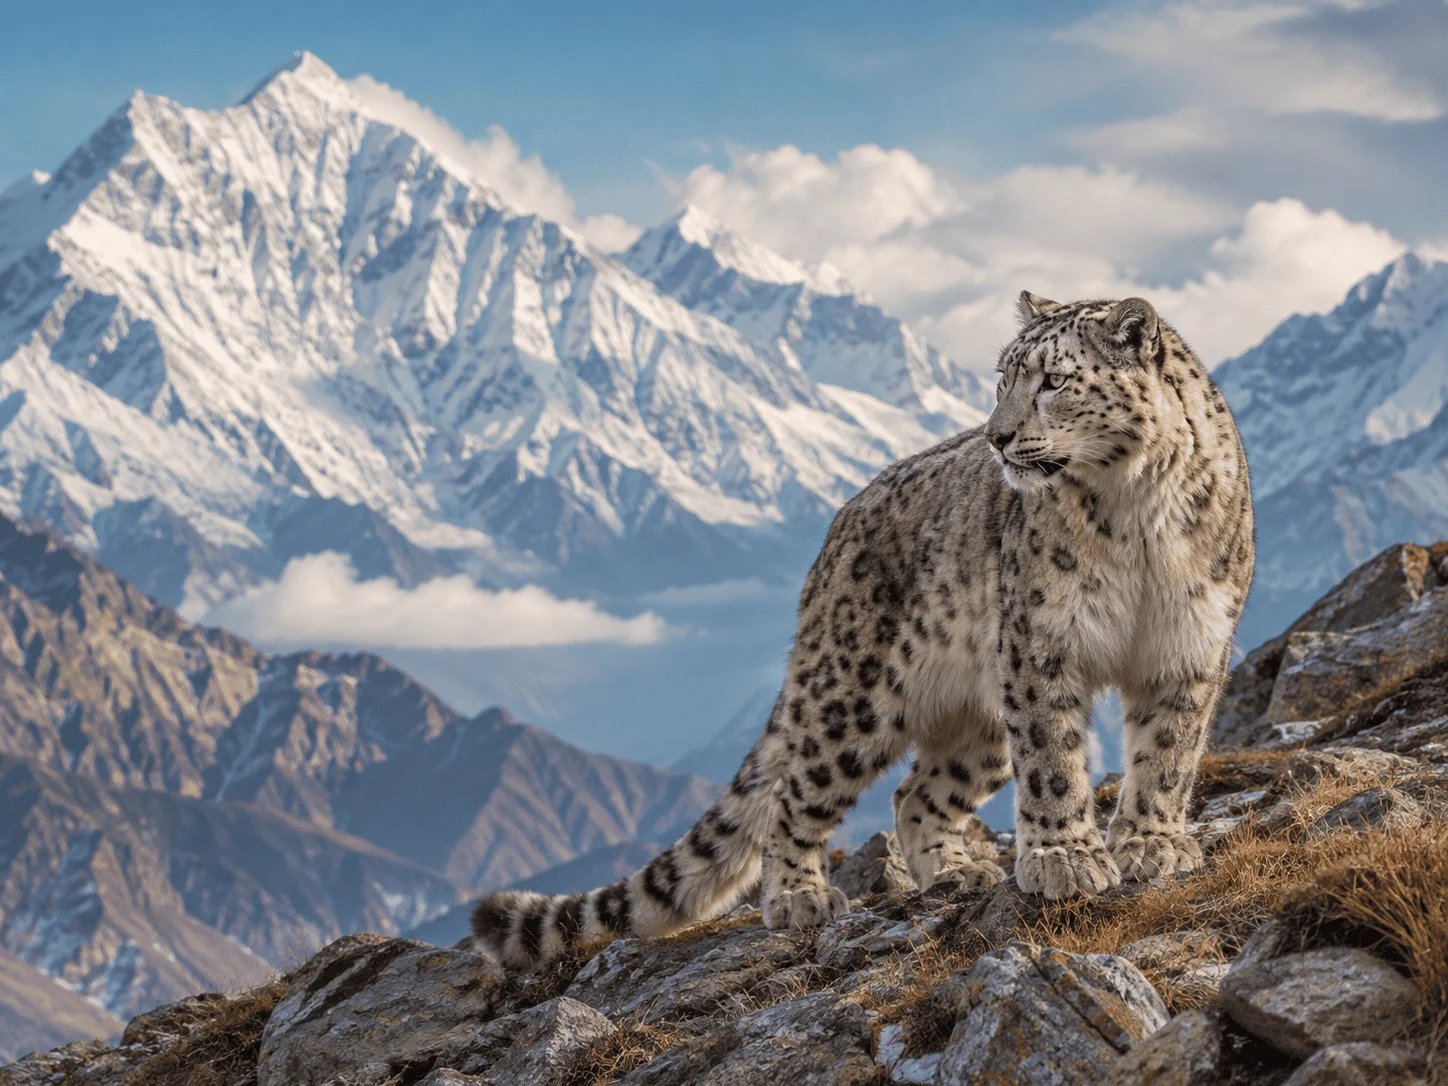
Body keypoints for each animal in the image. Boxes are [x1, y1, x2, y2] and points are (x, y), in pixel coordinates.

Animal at [471, 292, 1254, 969]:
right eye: (1003, 378)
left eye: (1055, 380)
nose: (997, 436)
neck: (1137, 513)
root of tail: (837, 528)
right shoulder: (1042, 645)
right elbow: (1053, 759)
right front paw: (1066, 858)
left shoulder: (1188, 647)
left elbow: (1167, 754)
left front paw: (1150, 844)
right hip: (854, 695)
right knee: (794, 795)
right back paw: (800, 897)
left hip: (979, 716)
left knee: (918, 794)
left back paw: (956, 871)